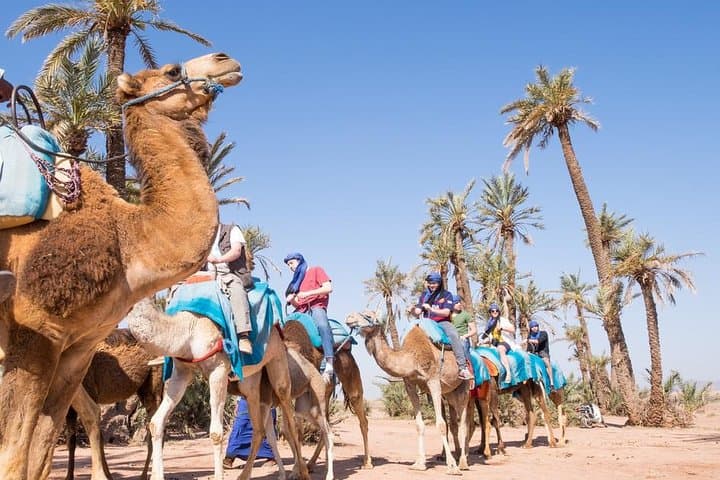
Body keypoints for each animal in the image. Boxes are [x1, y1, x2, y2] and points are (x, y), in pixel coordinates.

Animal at [65, 328, 164, 480]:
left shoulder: (90, 391)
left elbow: (97, 436)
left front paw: (106, 475)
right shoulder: (70, 405)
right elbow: (71, 440)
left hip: (154, 383)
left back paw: (145, 476)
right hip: (144, 388)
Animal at [126, 297, 312, 480]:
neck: (189, 329)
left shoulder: (219, 369)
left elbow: (216, 433)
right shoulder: (182, 372)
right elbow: (156, 422)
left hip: (278, 362)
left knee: (291, 422)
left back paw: (302, 472)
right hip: (252, 385)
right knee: (259, 429)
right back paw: (246, 475)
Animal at [282, 317, 373, 470]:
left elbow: (296, 430)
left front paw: (298, 468)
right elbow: (289, 430)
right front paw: (298, 467)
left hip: (350, 375)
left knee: (362, 418)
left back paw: (367, 462)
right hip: (326, 392)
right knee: (326, 424)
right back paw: (313, 463)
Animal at [346, 311, 470, 475]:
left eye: (368, 315)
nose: (349, 318)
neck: (410, 359)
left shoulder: (433, 381)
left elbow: (441, 424)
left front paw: (452, 467)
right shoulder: (409, 384)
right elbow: (419, 425)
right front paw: (419, 463)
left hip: (464, 387)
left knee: (464, 421)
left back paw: (462, 462)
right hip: (450, 391)